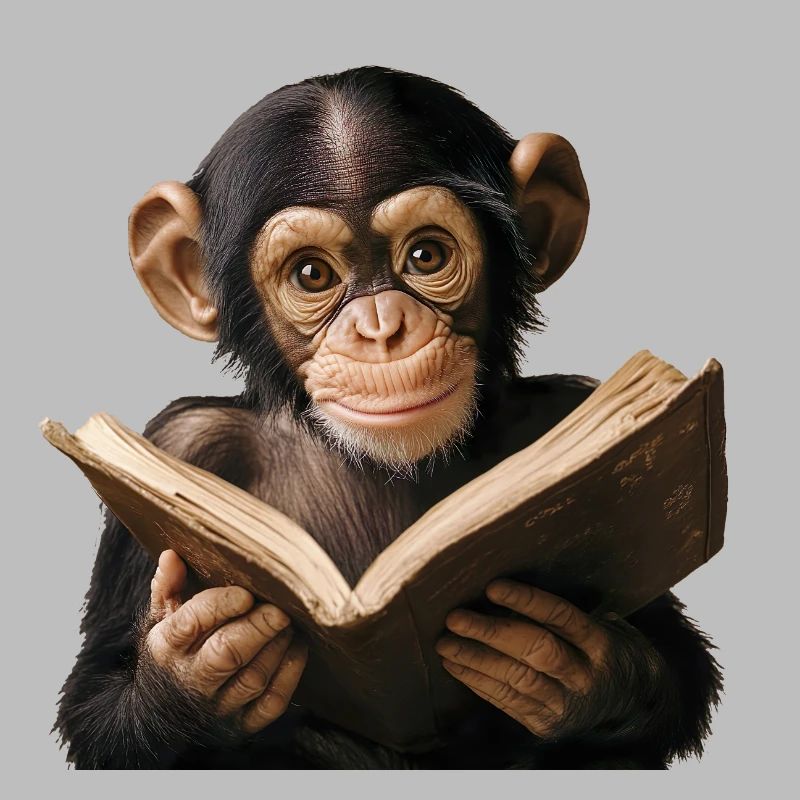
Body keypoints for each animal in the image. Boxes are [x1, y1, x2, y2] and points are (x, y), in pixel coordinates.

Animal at [54, 66, 722, 769]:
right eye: (312, 273)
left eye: (426, 256)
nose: (382, 329)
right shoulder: (181, 446)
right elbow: (97, 700)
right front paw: (197, 668)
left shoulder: (571, 413)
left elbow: (668, 654)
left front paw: (572, 662)